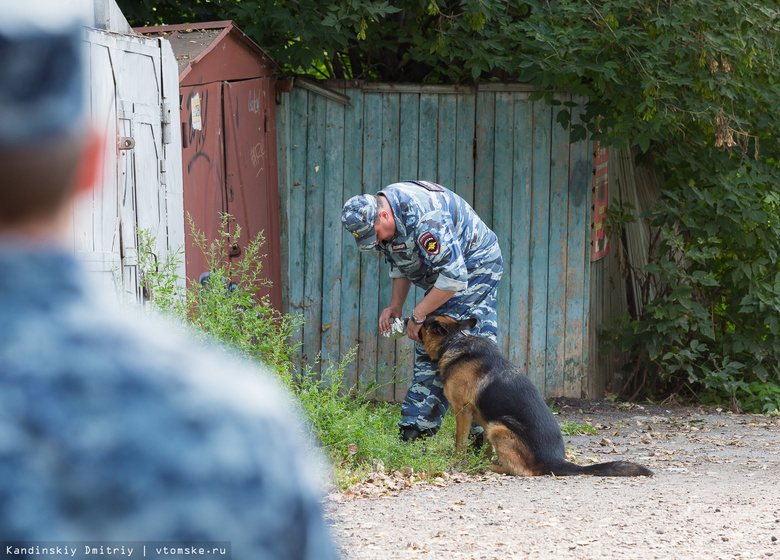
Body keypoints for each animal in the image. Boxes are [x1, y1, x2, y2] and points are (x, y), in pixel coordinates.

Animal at [420, 316, 652, 476]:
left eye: (425, 322)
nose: (412, 318)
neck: (453, 341)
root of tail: (556, 461)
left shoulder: (463, 411)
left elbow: (459, 443)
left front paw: (458, 463)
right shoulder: (483, 419)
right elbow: (484, 447)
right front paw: (478, 459)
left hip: (499, 426)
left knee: (522, 471)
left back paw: (488, 467)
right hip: (493, 424)